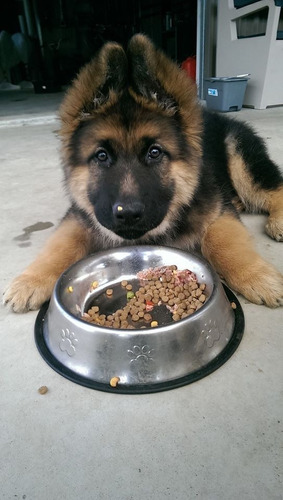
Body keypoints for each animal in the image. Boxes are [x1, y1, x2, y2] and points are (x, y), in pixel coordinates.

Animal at [3, 34, 283, 312]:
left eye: (155, 153)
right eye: (102, 156)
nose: (127, 215)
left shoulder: (219, 211)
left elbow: (224, 243)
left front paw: (257, 276)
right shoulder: (80, 215)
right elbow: (61, 244)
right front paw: (31, 280)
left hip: (240, 159)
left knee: (272, 188)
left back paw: (276, 221)